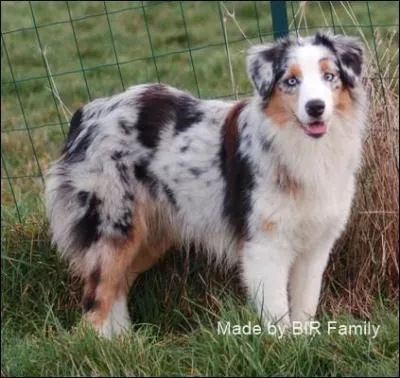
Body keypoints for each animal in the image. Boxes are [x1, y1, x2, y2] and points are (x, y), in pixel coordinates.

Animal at [43, 32, 366, 338]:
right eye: (291, 81)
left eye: (329, 76)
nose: (315, 107)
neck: (305, 149)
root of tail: (88, 114)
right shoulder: (265, 246)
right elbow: (277, 313)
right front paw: (284, 347)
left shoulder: (316, 246)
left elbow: (304, 307)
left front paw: (304, 345)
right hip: (112, 230)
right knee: (94, 304)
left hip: (149, 236)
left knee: (117, 289)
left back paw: (126, 342)